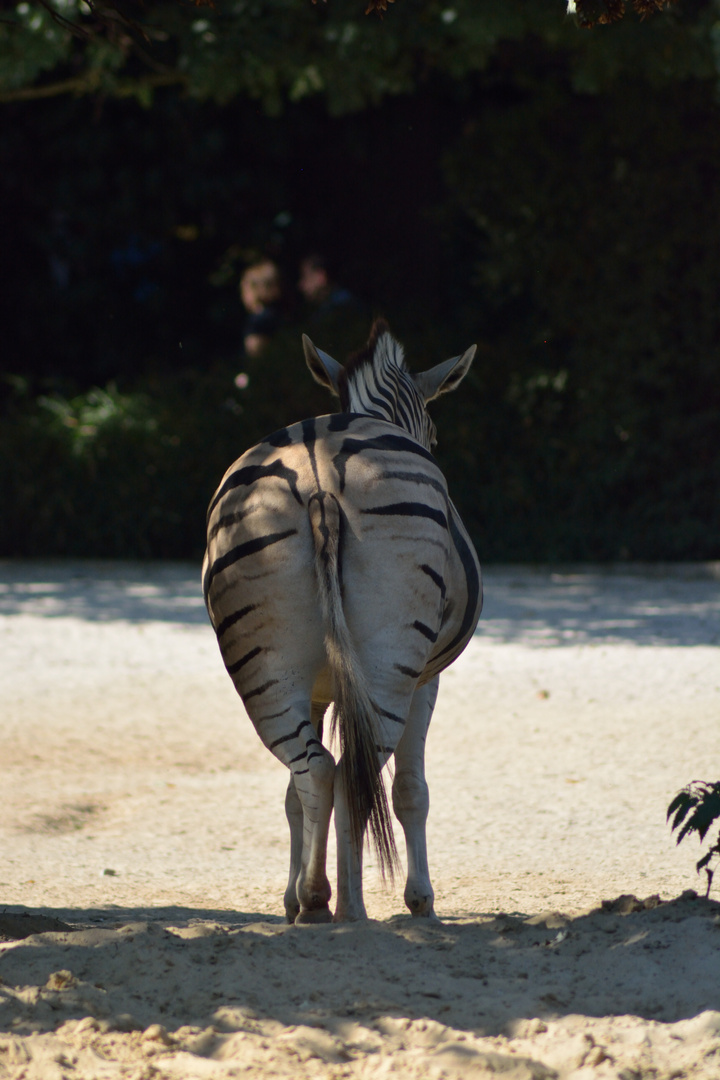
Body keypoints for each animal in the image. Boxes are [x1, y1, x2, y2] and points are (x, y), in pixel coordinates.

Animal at [202, 315, 481, 924]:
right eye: (436, 435)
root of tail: (319, 471)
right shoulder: (427, 679)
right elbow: (410, 791)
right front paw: (420, 899)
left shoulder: (316, 687)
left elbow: (291, 797)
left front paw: (291, 895)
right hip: (392, 664)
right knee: (356, 772)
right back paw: (352, 907)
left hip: (264, 669)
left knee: (316, 770)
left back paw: (312, 901)